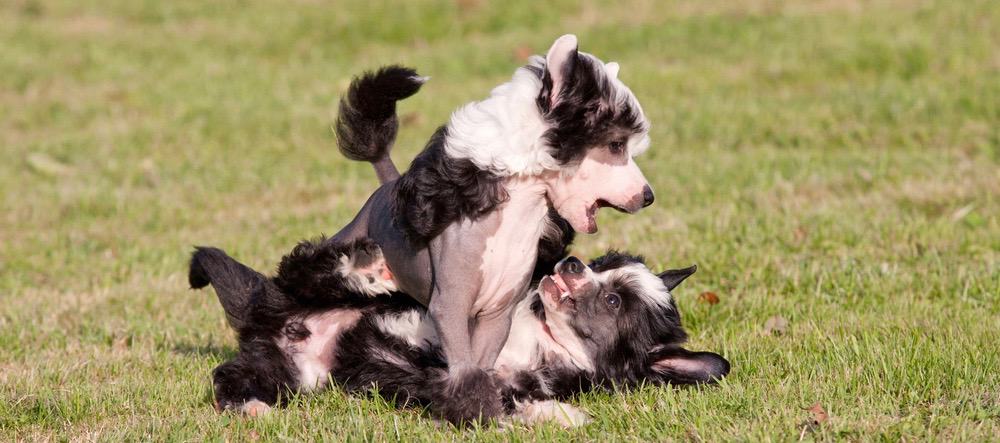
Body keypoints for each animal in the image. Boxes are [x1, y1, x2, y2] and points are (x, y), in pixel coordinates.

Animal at [191, 239, 732, 426]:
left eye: (615, 301)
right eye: (603, 264)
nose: (573, 263)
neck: (540, 335)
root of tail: (273, 312)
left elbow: (499, 400)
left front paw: (558, 416)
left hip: (292, 372)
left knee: (233, 376)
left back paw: (255, 408)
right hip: (309, 290)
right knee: (312, 265)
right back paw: (367, 272)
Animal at [328, 34, 656, 420]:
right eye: (616, 144)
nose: (648, 197)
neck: (518, 211)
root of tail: (384, 188)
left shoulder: (497, 315)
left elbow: (482, 367)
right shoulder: (450, 307)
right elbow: (465, 371)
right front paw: (472, 412)